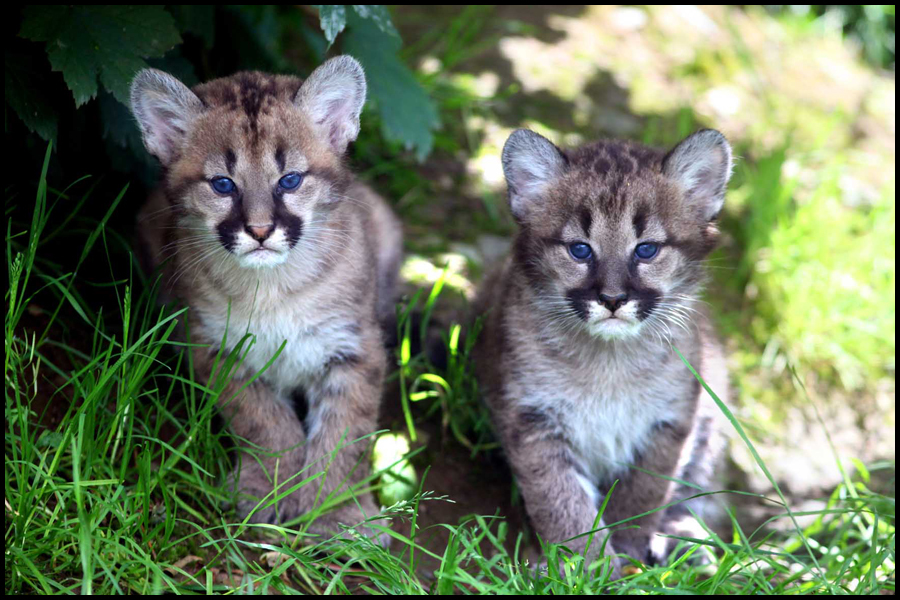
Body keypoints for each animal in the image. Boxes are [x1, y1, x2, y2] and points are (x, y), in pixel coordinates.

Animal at [129, 58, 400, 540]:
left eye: (290, 180)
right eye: (222, 185)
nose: (259, 231)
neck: (274, 287)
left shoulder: (354, 345)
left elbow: (346, 432)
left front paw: (337, 512)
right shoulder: (215, 345)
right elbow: (262, 421)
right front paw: (271, 491)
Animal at [474, 129, 736, 568]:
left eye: (646, 249)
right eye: (580, 250)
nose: (613, 299)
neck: (609, 365)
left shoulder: (672, 421)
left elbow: (644, 494)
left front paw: (628, 555)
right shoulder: (533, 418)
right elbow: (562, 501)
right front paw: (587, 566)